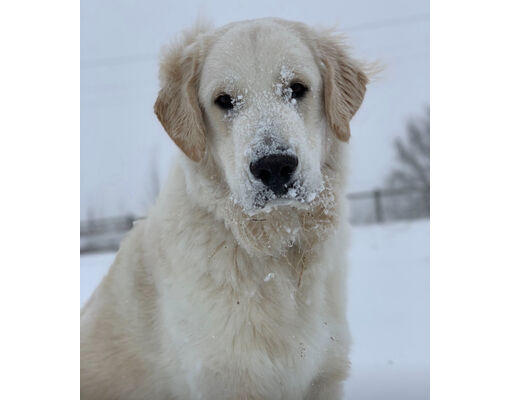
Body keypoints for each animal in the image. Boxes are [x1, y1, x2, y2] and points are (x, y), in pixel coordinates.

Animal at [80, 18, 366, 400]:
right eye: (224, 101)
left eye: (297, 88)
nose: (274, 166)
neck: (277, 254)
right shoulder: (227, 377)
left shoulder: (324, 376)